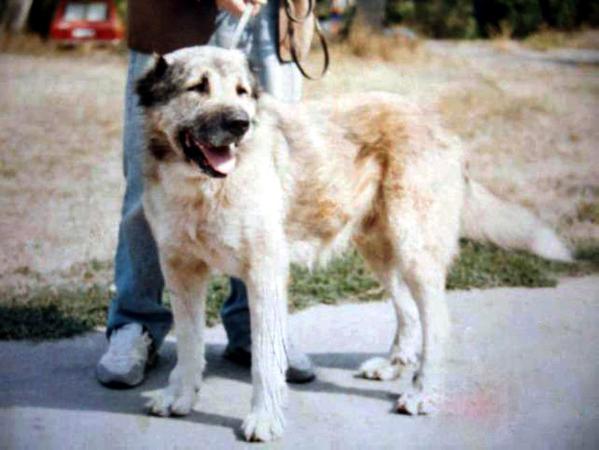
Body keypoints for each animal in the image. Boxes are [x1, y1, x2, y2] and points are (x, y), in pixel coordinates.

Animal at [136, 46, 572, 442]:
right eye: (198, 87)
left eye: (242, 91)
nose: (241, 124)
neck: (200, 189)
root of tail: (437, 122)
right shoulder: (180, 272)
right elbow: (190, 343)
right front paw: (180, 395)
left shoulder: (265, 273)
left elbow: (265, 358)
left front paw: (265, 418)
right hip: (380, 250)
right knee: (408, 311)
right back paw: (395, 365)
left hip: (413, 249)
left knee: (437, 322)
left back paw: (423, 391)